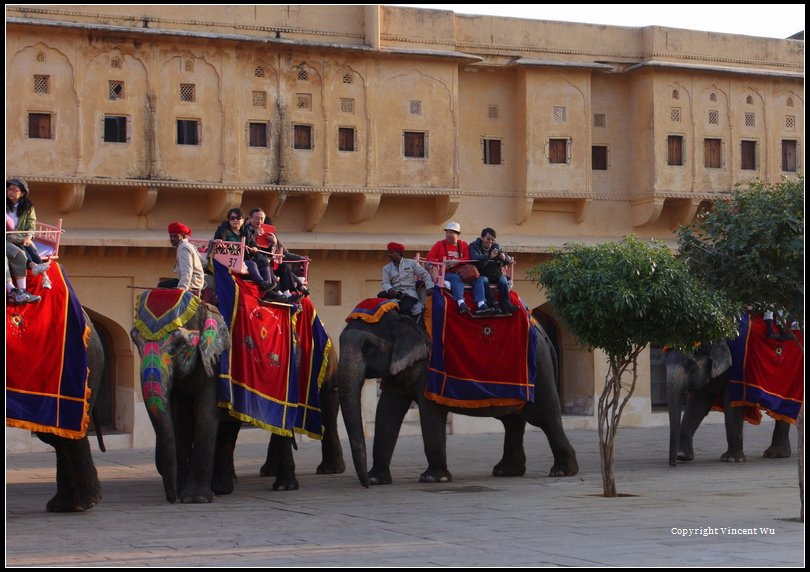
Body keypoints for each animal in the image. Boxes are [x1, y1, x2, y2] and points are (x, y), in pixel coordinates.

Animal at [338, 308, 576, 488]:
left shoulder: (429, 368)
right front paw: (376, 479)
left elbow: (430, 412)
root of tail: (543, 333)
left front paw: (433, 479)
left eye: (368, 346)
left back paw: (562, 472)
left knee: (545, 416)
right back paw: (506, 471)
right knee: (512, 420)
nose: (364, 485)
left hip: (539, 370)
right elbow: (387, 412)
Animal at [664, 342, 792, 466]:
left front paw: (731, 460)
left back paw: (775, 454)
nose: (673, 464)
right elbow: (698, 405)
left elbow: (731, 407)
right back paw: (778, 454)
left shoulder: (737, 368)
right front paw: (682, 456)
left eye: (691, 367)